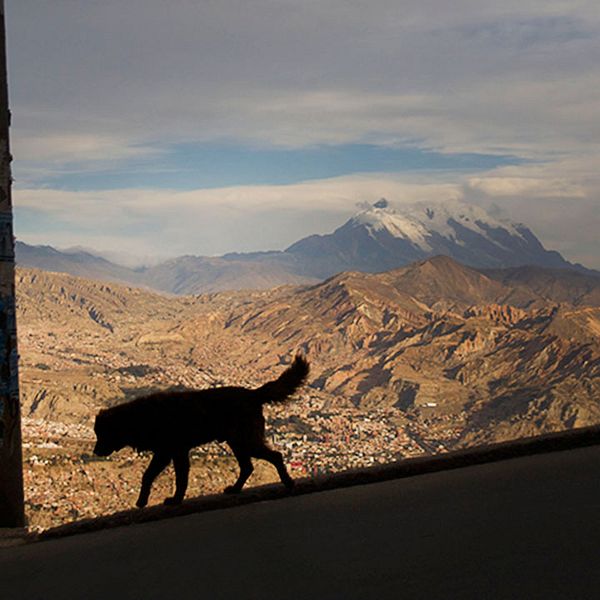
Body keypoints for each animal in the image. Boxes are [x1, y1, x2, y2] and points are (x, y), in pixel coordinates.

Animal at [95, 354, 310, 508]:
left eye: (102, 434)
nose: (95, 452)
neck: (138, 418)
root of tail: (253, 394)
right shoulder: (176, 453)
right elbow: (173, 477)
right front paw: (169, 499)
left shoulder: (168, 453)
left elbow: (162, 476)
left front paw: (163, 500)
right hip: (237, 442)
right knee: (248, 467)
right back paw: (236, 489)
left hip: (246, 440)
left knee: (275, 456)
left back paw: (288, 482)